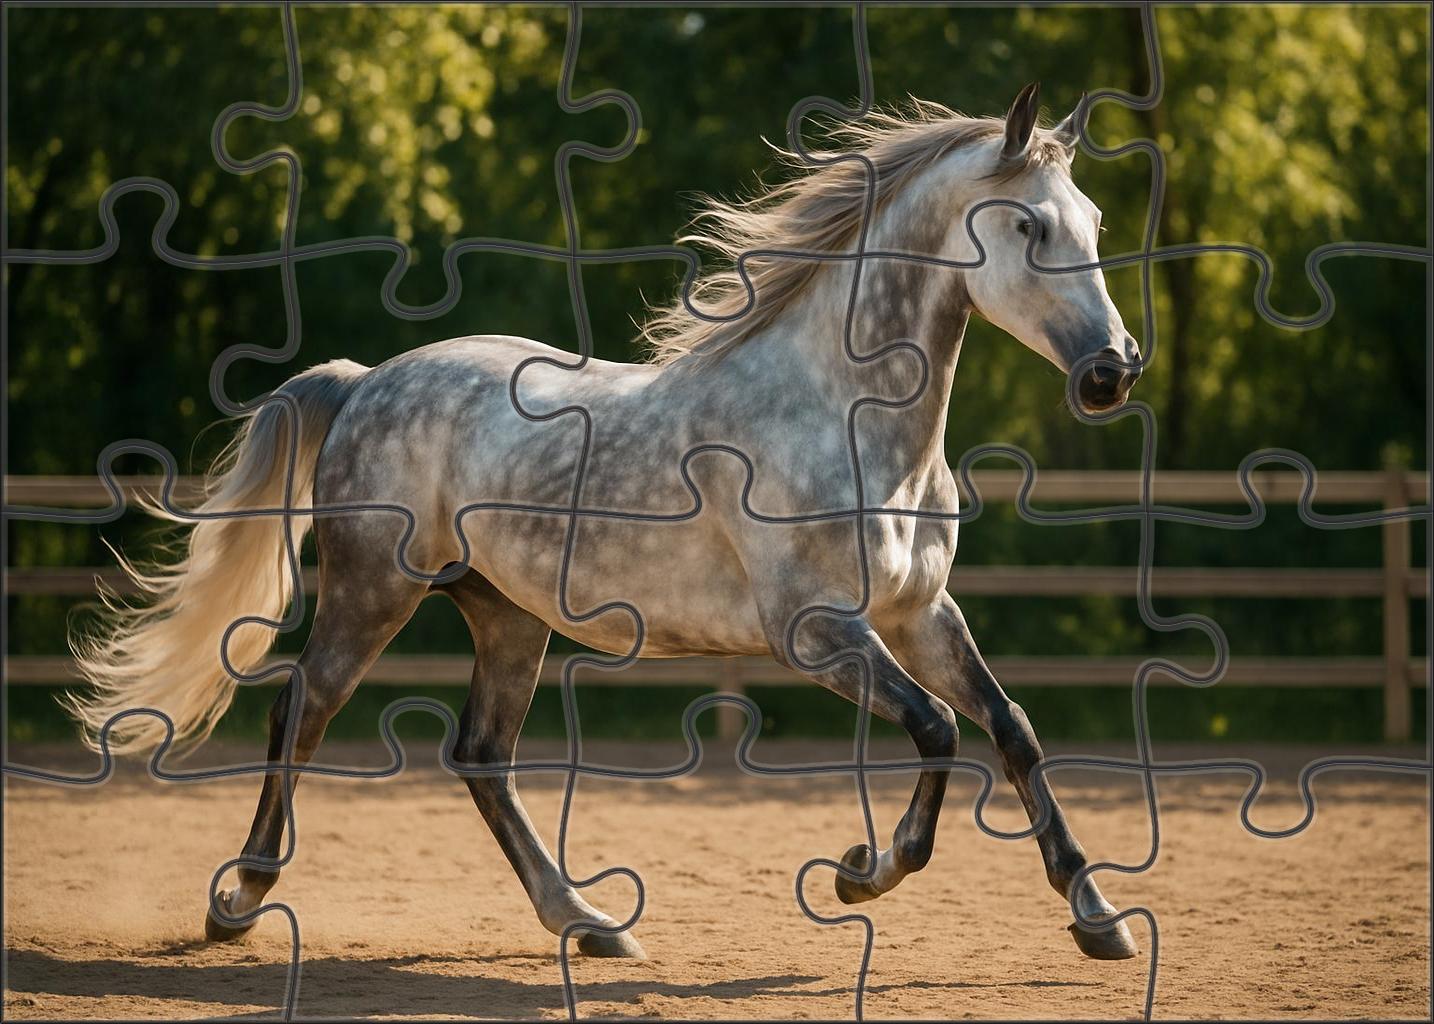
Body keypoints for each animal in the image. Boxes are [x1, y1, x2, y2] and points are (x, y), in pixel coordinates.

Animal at [67, 83, 1143, 961]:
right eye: (1028, 226)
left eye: (1093, 220)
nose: (1113, 372)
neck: (842, 415)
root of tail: (366, 379)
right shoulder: (819, 632)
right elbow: (937, 732)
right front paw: (861, 873)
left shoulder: (921, 615)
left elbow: (1011, 730)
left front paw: (1100, 920)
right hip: (374, 589)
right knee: (303, 708)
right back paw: (240, 901)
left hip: (506, 614)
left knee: (480, 756)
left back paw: (586, 920)